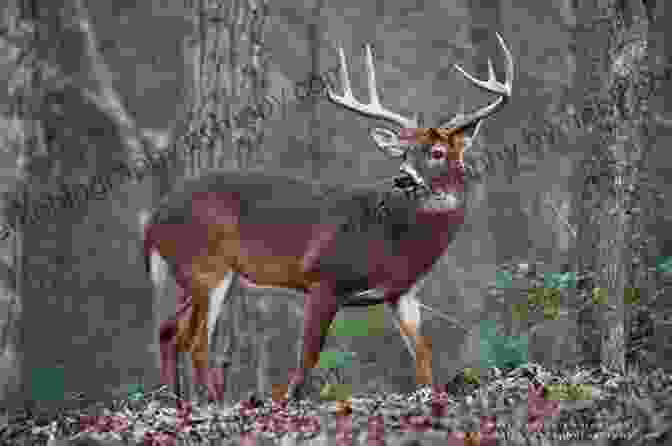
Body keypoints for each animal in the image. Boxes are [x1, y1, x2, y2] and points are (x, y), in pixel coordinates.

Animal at [143, 33, 516, 402]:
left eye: (437, 152)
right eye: (404, 153)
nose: (403, 178)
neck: (394, 238)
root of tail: (154, 219)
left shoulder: (403, 293)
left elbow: (423, 358)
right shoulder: (323, 278)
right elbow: (308, 356)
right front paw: (287, 401)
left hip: (196, 273)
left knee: (169, 331)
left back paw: (175, 400)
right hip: (207, 265)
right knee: (193, 341)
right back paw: (210, 403)